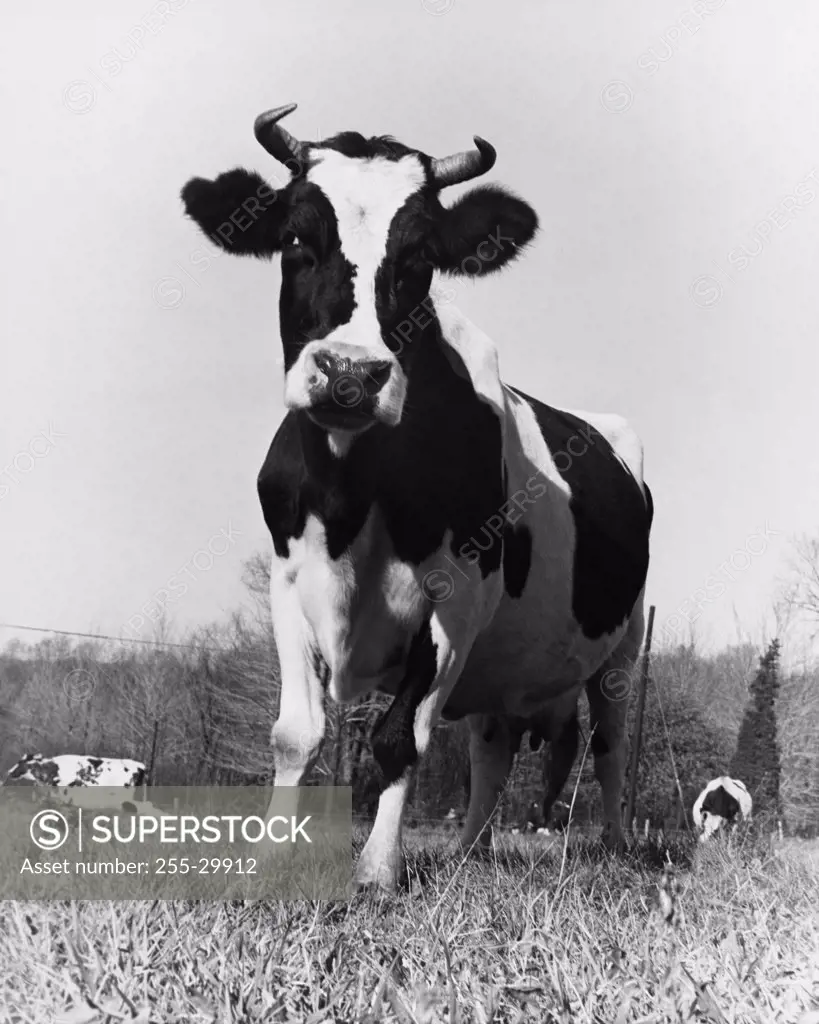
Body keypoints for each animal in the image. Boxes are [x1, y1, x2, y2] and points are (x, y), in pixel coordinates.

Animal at [181, 101, 651, 888]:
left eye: (421, 259)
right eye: (295, 238)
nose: (349, 372)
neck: (352, 496)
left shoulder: (456, 600)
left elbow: (400, 737)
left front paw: (376, 870)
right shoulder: (287, 580)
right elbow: (294, 733)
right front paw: (272, 859)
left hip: (622, 648)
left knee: (610, 745)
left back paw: (615, 844)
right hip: (504, 663)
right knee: (492, 749)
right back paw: (467, 851)